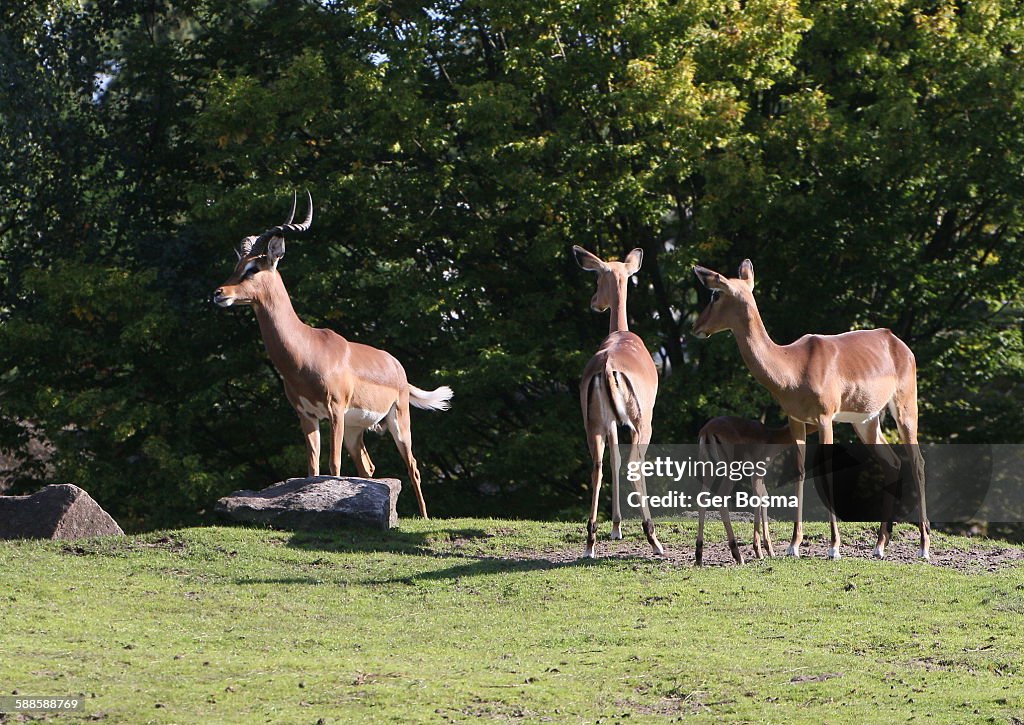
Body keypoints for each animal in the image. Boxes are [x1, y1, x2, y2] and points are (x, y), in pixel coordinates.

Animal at [212, 192, 452, 516]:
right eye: (238, 265)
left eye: (253, 269)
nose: (219, 293)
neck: (307, 349)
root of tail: (396, 367)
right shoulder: (306, 414)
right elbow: (313, 468)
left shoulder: (334, 410)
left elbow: (333, 466)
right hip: (355, 429)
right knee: (368, 467)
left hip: (398, 421)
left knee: (413, 466)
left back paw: (425, 516)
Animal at [577, 246, 663, 557]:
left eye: (598, 278)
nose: (593, 302)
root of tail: (606, 365)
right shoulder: (636, 424)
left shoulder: (611, 425)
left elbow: (612, 461)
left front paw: (615, 528)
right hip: (641, 425)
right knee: (633, 465)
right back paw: (655, 541)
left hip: (594, 427)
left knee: (597, 467)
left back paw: (590, 543)